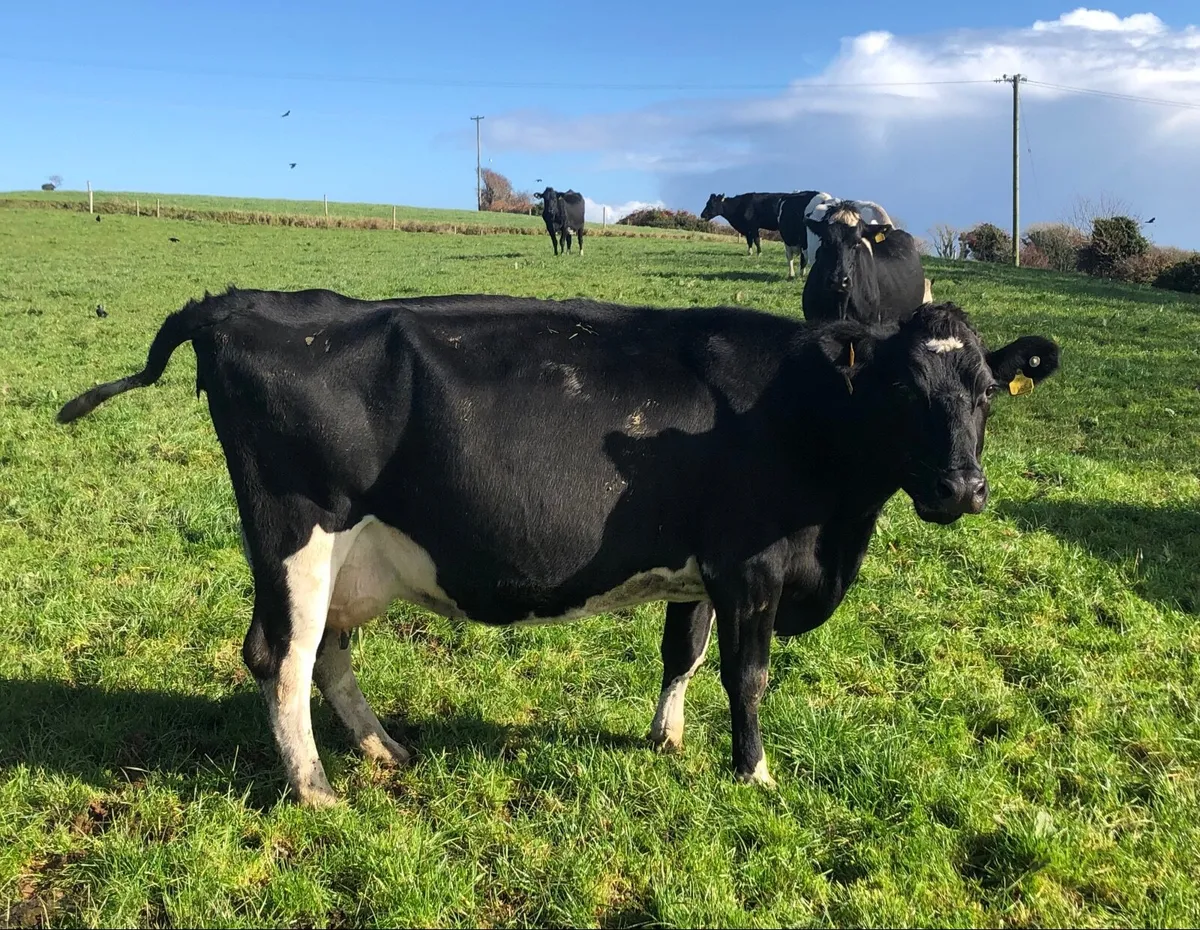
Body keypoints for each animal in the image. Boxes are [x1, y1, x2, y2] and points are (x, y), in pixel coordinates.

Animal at [57, 287, 1060, 807]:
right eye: (901, 390)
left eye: (984, 393)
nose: (962, 490)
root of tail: (237, 304)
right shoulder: (753, 565)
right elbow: (748, 675)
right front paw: (755, 771)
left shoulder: (699, 568)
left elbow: (682, 652)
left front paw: (667, 738)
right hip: (297, 536)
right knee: (281, 656)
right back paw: (315, 788)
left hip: (342, 559)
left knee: (326, 653)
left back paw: (383, 751)